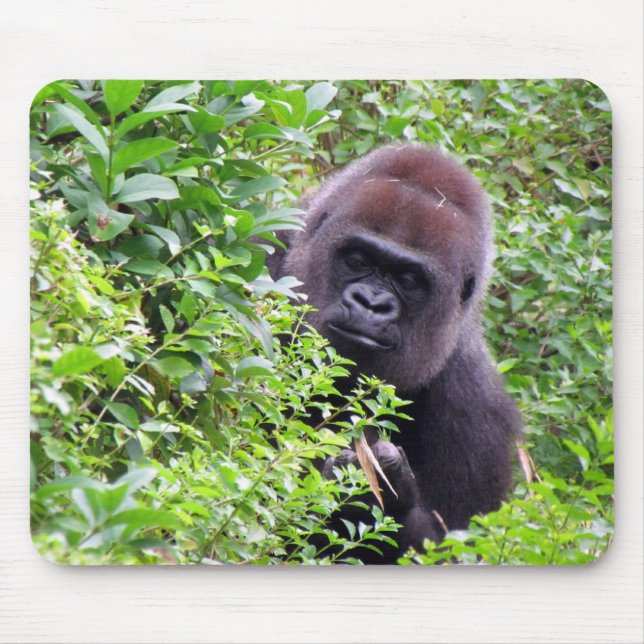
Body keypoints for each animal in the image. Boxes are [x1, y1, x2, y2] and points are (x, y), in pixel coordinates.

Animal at [267, 144, 522, 563]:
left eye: (408, 280)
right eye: (357, 260)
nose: (371, 304)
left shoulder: (478, 415)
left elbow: (452, 546)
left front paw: (386, 494)